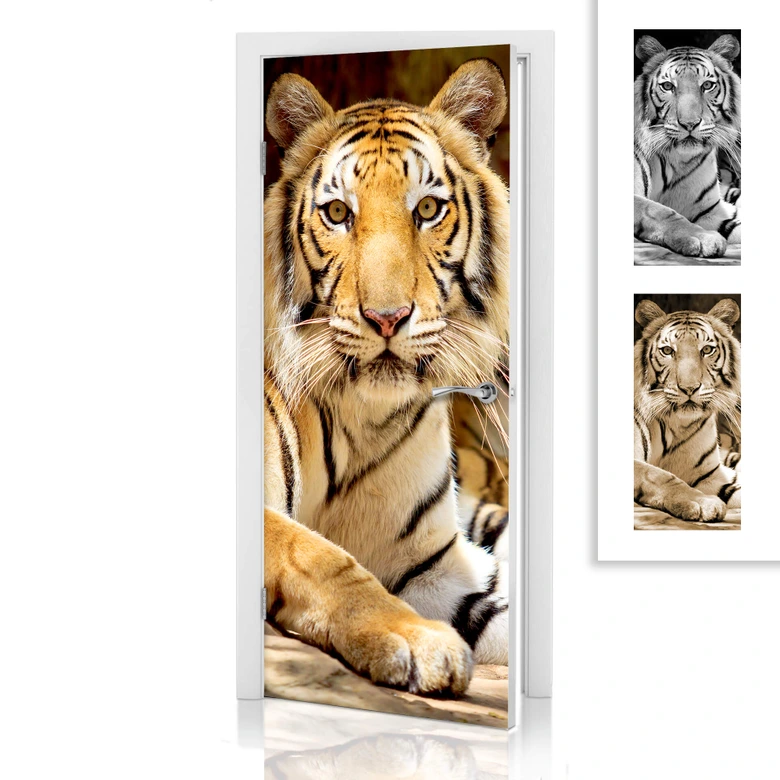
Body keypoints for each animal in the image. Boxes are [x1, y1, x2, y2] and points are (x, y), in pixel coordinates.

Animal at [263, 59, 511, 697]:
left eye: (426, 210)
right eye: (337, 213)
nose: (386, 317)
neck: (364, 418)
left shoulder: (433, 566)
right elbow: (323, 556)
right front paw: (416, 641)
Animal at [634, 34, 741, 258]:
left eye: (707, 85)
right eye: (668, 87)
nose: (690, 124)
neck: (678, 160)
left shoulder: (709, 211)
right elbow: (659, 211)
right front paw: (702, 238)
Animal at [634, 298, 741, 523]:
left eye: (707, 350)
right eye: (667, 351)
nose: (690, 388)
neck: (677, 424)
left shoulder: (710, 476)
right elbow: (658, 475)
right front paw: (702, 503)